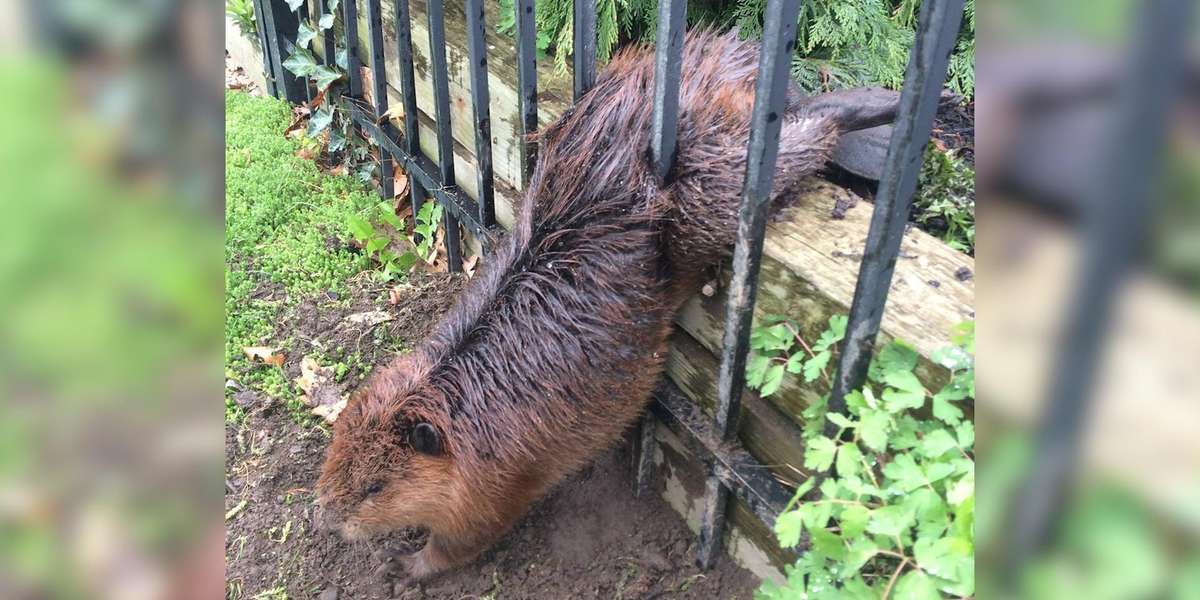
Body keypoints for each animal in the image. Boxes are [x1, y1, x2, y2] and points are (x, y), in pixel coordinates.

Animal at [316, 29, 902, 580]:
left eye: (374, 487)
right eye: (336, 454)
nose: (326, 520)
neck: (460, 398)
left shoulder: (494, 481)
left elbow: (468, 537)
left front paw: (403, 564)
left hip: (710, 189)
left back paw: (879, 104)